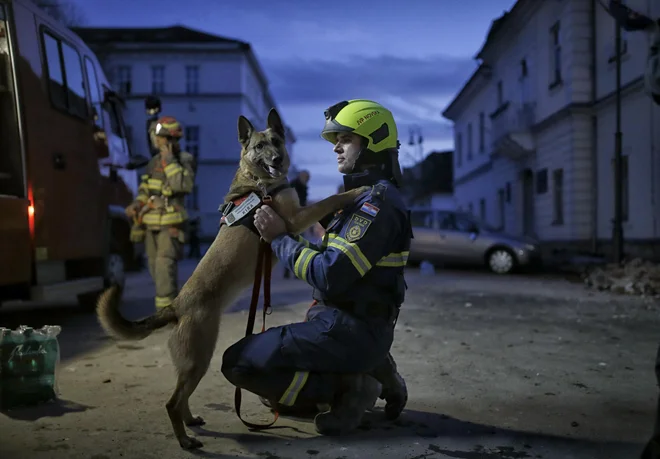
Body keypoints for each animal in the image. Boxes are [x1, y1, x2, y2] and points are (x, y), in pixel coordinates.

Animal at [95, 108, 368, 450]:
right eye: (260, 146)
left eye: (276, 141)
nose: (277, 159)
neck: (259, 182)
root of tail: (176, 305)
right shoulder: (295, 219)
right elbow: (327, 202)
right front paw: (352, 192)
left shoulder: (293, 225)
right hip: (199, 358)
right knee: (172, 402)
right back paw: (184, 440)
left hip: (195, 363)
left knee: (182, 398)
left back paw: (190, 422)